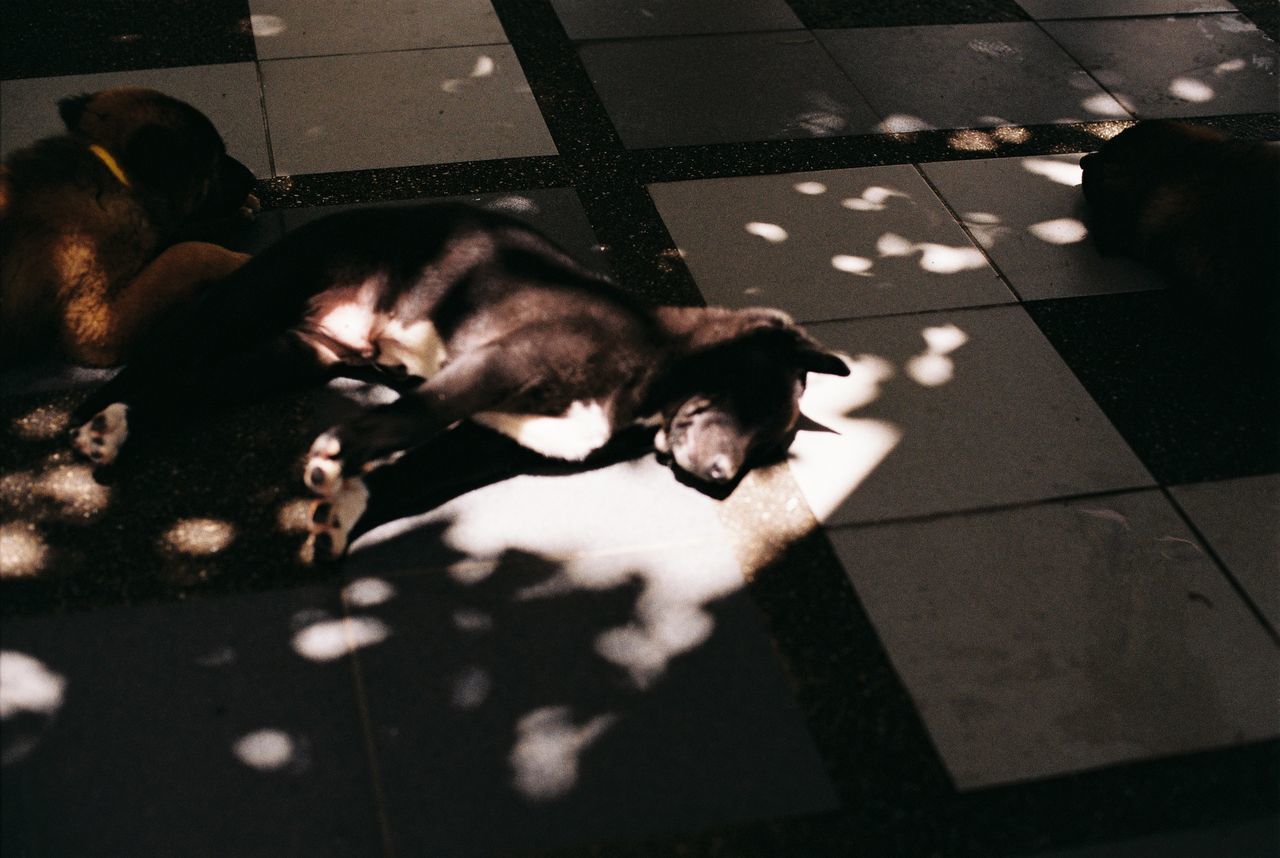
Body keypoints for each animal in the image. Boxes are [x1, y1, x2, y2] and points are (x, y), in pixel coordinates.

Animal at [67, 203, 849, 563]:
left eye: (769, 449)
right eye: (748, 401)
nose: (721, 479)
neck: (650, 361)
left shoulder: (489, 441)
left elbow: (411, 473)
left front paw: (342, 512)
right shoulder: (500, 363)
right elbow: (415, 415)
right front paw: (338, 458)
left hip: (289, 356)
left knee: (190, 388)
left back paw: (120, 424)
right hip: (250, 299)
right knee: (161, 356)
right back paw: (93, 415)